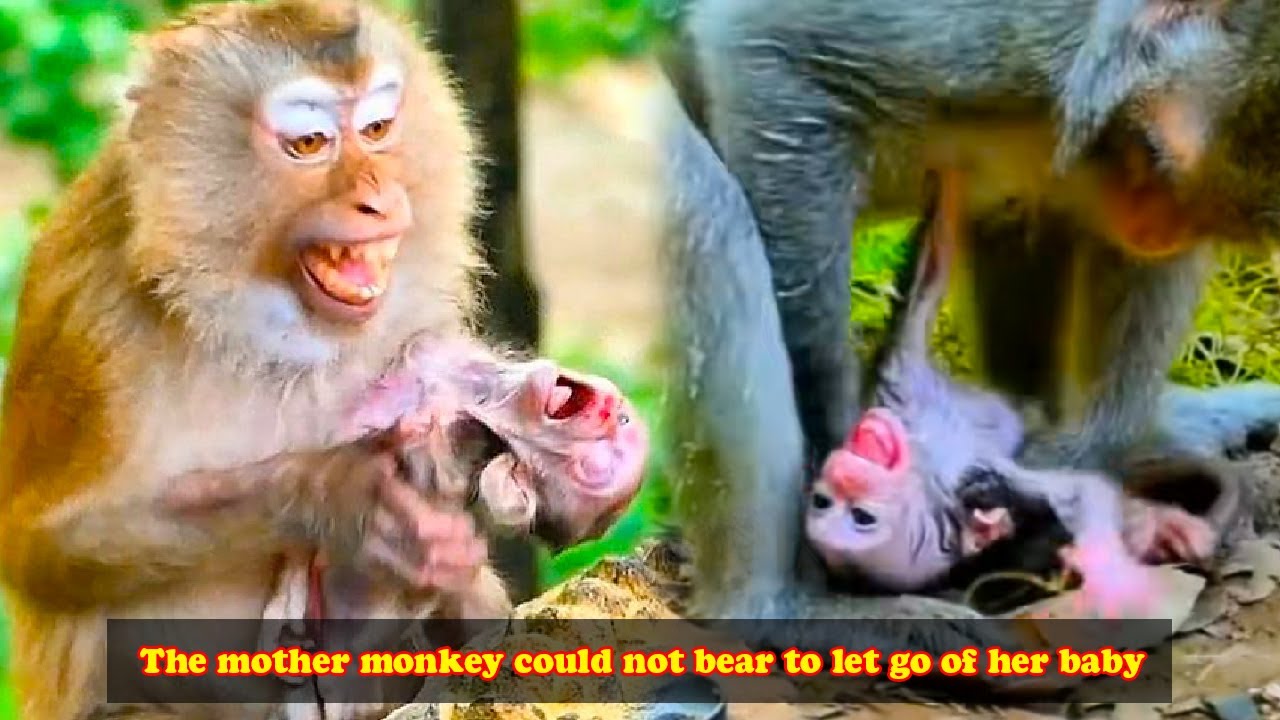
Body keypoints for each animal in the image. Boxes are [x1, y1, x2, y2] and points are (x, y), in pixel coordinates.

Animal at [0, 3, 643, 719]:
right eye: (310, 143)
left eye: (377, 130)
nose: (381, 198)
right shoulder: (97, 333)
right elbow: (40, 548)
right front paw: (340, 497)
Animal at [658, 0, 1280, 648]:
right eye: (1152, 154)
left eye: (1206, 214)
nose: (1154, 228)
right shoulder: (1001, 26)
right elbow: (771, 52)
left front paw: (1070, 467)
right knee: (706, 208)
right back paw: (777, 607)